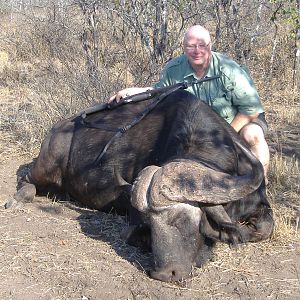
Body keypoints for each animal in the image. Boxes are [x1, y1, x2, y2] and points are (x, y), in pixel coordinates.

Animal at [7, 88, 274, 282]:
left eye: (181, 220)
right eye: (151, 225)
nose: (166, 274)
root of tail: (57, 128)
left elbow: (263, 229)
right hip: (45, 170)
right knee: (27, 181)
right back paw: (16, 199)